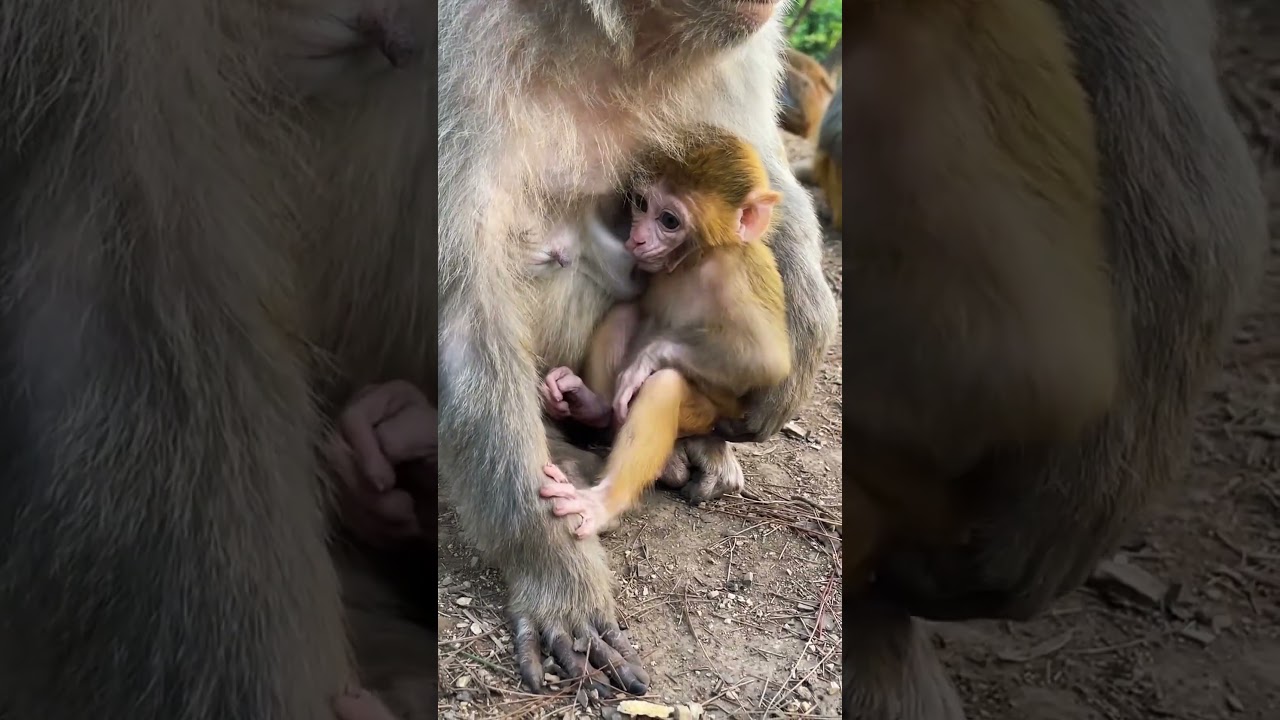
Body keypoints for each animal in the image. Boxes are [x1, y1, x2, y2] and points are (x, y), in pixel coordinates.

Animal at [537, 127, 792, 538]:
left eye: (669, 220)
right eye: (641, 204)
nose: (637, 238)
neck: (694, 261)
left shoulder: (731, 274)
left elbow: (766, 361)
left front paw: (647, 358)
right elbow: (633, 306)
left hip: (706, 416)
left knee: (665, 385)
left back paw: (603, 502)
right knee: (624, 315)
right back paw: (592, 406)